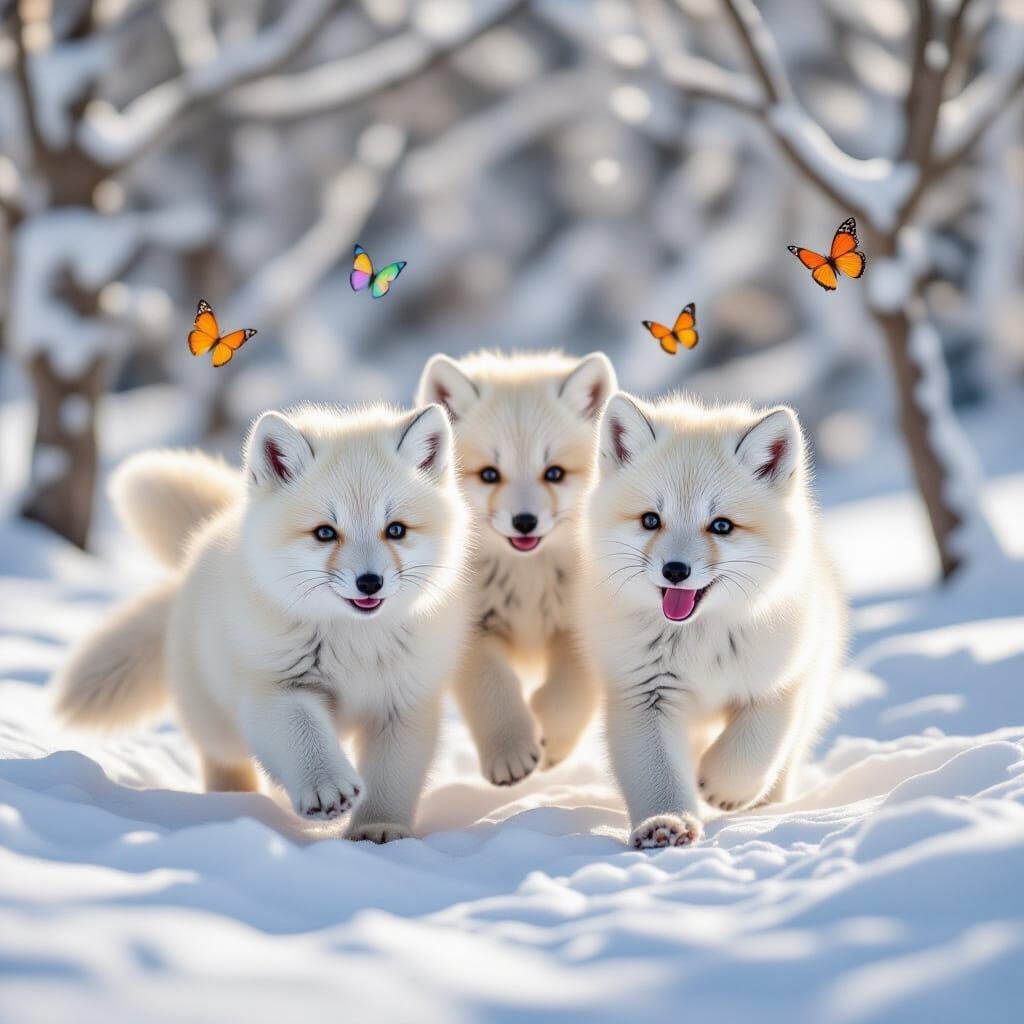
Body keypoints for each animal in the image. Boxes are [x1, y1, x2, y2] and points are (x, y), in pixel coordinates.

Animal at [54, 403, 469, 843]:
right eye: (325, 532)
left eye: (396, 530)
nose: (370, 582)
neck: (352, 645)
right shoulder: (277, 690)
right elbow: (305, 739)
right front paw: (327, 789)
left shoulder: (403, 704)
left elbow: (391, 780)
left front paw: (378, 829)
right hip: (217, 722)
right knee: (222, 757)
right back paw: (231, 802)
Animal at [416, 350, 617, 785]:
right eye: (489, 475)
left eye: (554, 473)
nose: (525, 521)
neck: (527, 584)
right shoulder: (472, 628)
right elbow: (494, 690)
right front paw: (511, 750)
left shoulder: (578, 625)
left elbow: (567, 694)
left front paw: (549, 738)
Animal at [579, 392, 847, 849]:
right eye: (650, 520)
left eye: (721, 526)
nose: (675, 571)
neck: (698, 645)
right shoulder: (643, 694)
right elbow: (658, 776)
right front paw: (666, 822)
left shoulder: (778, 683)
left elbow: (750, 752)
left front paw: (721, 787)